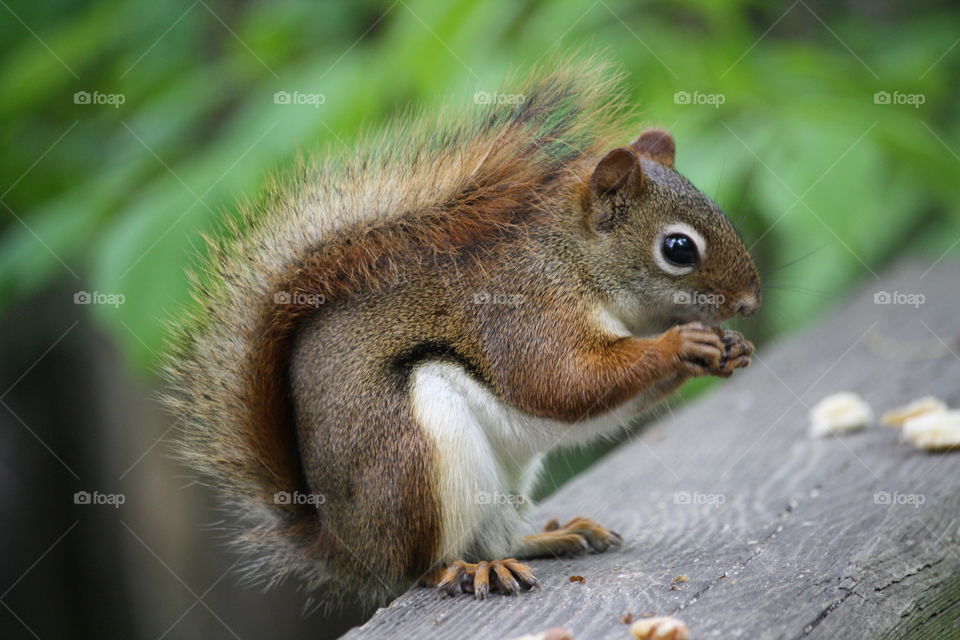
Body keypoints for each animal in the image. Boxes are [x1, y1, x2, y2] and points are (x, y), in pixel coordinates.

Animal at [167, 58, 764, 604]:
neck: (574, 262)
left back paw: (551, 537)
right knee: (422, 566)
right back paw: (465, 570)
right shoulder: (523, 313)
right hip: (414, 461)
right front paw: (680, 344)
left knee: (497, 536)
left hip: (504, 487)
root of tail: (348, 547)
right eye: (678, 248)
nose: (750, 303)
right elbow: (561, 382)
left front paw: (731, 349)